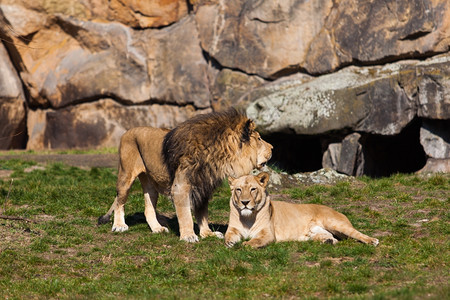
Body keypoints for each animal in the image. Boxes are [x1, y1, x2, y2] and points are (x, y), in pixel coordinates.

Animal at [99, 109, 272, 243]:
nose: (273, 148)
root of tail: (128, 130)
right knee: (120, 202)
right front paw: (188, 236)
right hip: (125, 175)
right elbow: (185, 214)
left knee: (148, 208)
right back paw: (119, 226)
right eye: (259, 138)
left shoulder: (204, 187)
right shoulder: (180, 187)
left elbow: (202, 214)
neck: (217, 156)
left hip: (151, 184)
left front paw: (207, 233)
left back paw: (157, 228)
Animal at [225, 172, 380, 247]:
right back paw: (327, 242)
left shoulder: (268, 234)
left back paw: (372, 241)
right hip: (315, 233)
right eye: (238, 190)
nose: (245, 202)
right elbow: (228, 236)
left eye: (253, 189)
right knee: (333, 238)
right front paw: (230, 243)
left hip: (336, 223)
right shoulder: (233, 229)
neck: (248, 217)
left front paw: (246, 244)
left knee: (356, 233)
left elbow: (255, 241)